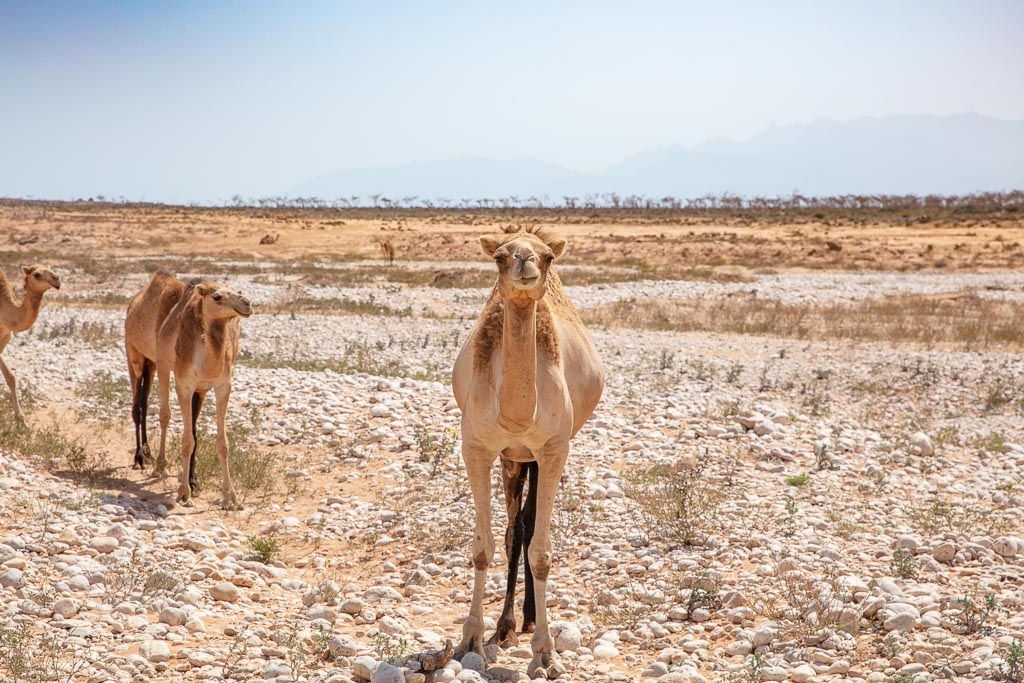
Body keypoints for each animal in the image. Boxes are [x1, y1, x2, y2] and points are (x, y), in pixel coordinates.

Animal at [0, 266, 61, 421]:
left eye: (51, 269)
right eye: (37, 274)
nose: (57, 279)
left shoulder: (4, 337)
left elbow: (10, 376)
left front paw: (21, 419)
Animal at [452, 227, 602, 675]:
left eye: (548, 256)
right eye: (499, 257)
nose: (524, 261)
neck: (518, 414)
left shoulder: (554, 448)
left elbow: (542, 552)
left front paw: (546, 653)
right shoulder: (477, 447)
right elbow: (483, 546)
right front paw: (471, 639)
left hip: (535, 456)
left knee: (530, 523)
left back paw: (530, 618)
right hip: (514, 457)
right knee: (515, 527)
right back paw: (505, 625)